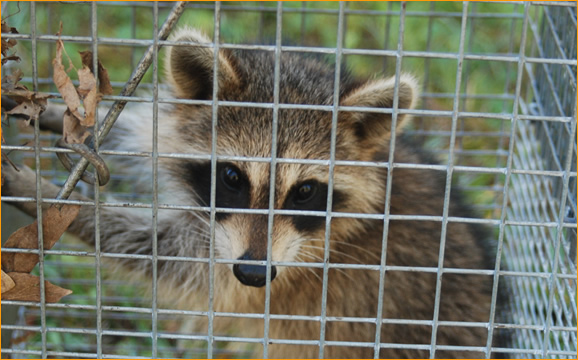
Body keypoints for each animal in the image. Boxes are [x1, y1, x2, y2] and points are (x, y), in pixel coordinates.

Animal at [1, 28, 504, 360]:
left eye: (305, 191)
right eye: (232, 177)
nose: (254, 272)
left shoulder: (298, 263)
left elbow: (169, 259)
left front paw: (55, 201)